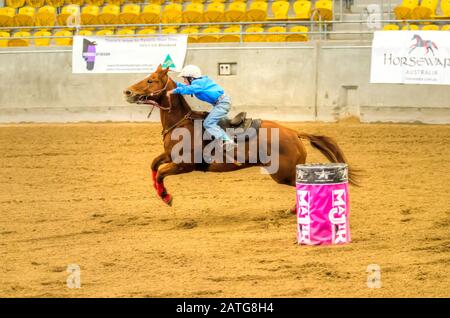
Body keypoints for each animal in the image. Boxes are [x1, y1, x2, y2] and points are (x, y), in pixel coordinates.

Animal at [122, 64, 358, 211]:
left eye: (151, 80)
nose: (127, 92)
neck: (182, 123)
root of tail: (294, 133)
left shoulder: (183, 165)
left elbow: (161, 173)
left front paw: (166, 197)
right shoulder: (168, 156)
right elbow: (154, 166)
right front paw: (159, 192)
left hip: (282, 174)